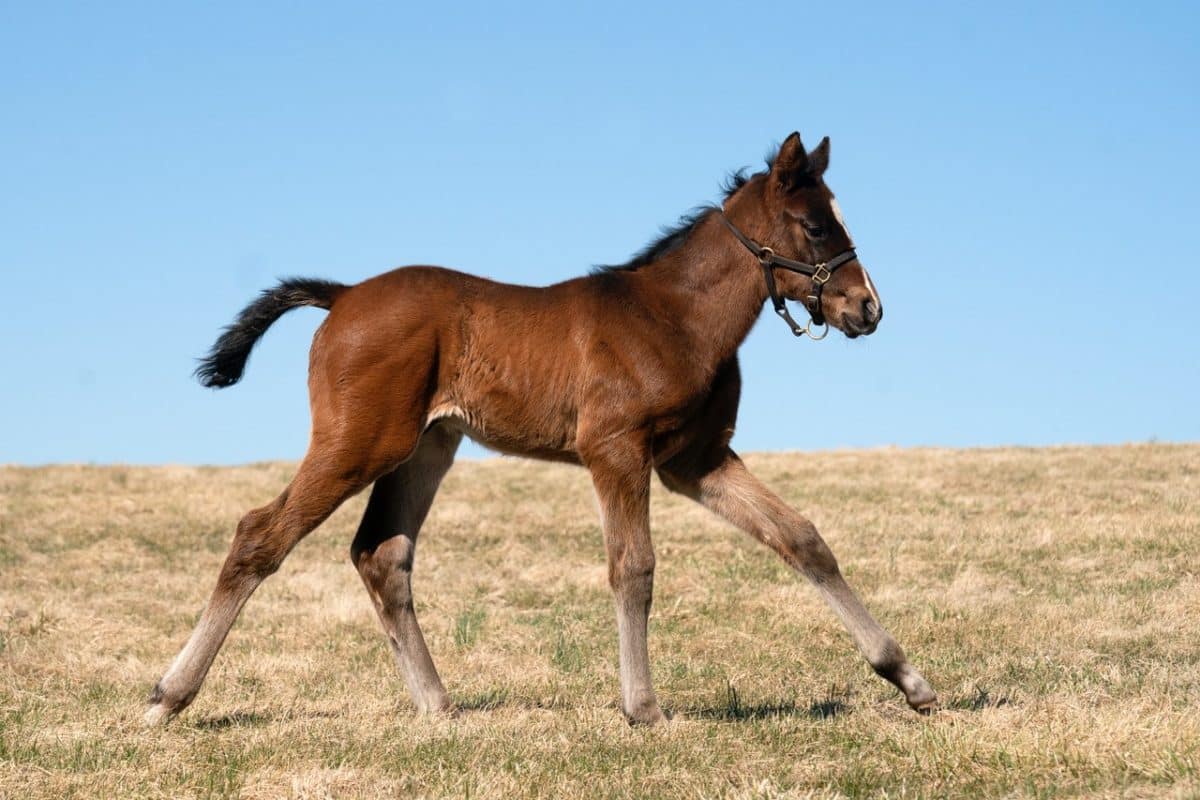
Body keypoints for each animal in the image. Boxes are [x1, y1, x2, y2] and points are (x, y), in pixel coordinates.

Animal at [145, 134, 936, 729]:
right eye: (816, 226)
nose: (867, 308)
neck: (673, 316)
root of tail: (341, 297)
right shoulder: (614, 450)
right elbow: (633, 568)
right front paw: (644, 709)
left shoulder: (695, 460)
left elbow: (800, 538)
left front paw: (909, 679)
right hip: (359, 443)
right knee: (260, 534)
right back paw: (168, 696)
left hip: (426, 446)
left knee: (382, 554)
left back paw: (439, 706)